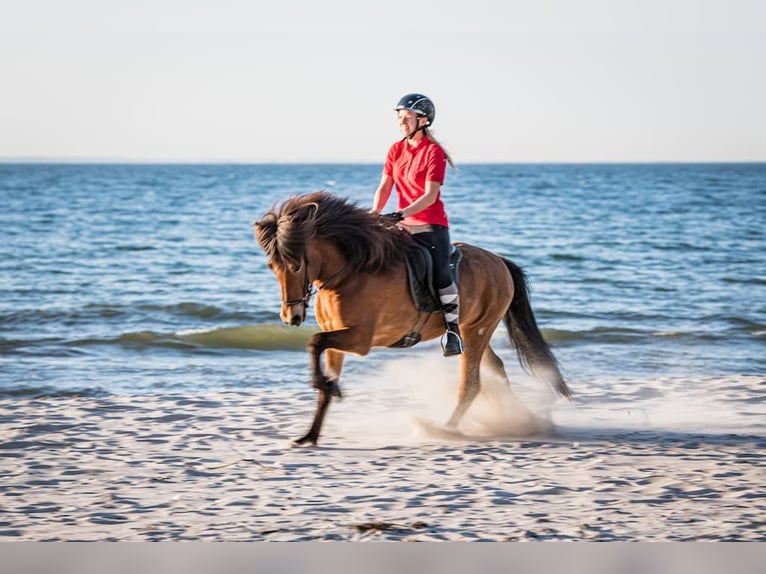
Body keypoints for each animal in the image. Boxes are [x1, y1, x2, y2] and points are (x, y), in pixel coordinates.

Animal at [255, 191, 572, 448]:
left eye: (296, 266)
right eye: (272, 266)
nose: (291, 316)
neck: (350, 273)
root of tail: (499, 261)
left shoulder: (359, 339)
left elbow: (314, 342)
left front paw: (322, 385)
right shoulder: (338, 339)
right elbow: (323, 371)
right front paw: (311, 432)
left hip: (478, 331)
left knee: (471, 383)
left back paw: (444, 428)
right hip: (473, 331)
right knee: (496, 369)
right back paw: (520, 419)